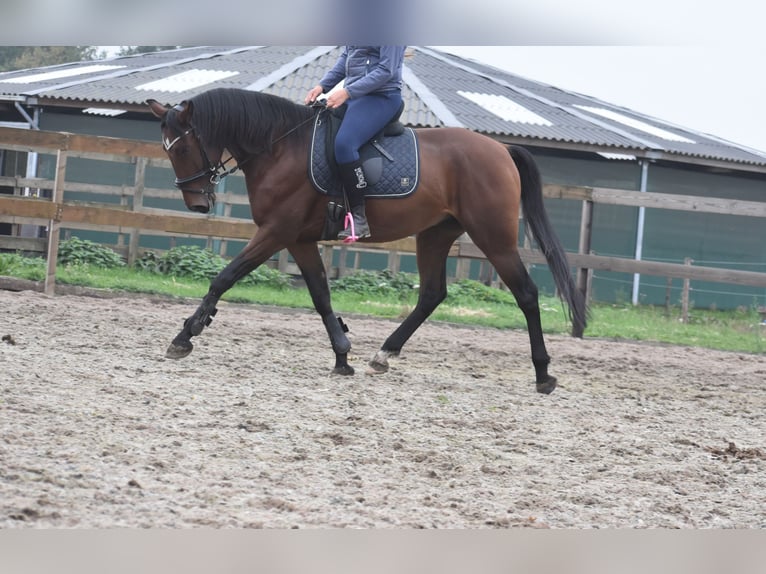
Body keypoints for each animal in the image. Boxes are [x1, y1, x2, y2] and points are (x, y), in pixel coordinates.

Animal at [147, 88, 587, 394]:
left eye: (183, 148)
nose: (197, 204)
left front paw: (185, 335)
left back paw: (543, 373)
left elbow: (224, 277)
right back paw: (383, 354)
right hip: (435, 234)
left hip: (493, 238)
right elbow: (320, 296)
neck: (280, 147)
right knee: (432, 293)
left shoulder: (275, 232)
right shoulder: (298, 239)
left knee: (526, 293)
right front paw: (343, 356)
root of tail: (500, 148)